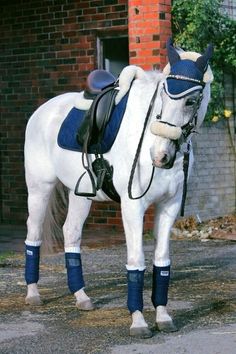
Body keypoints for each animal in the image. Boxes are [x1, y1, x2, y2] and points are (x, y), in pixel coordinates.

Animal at [24, 38, 214, 338]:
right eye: (162, 96)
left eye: (191, 100)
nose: (160, 156)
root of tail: (42, 111)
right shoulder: (133, 206)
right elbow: (136, 261)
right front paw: (138, 322)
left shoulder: (169, 206)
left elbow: (162, 261)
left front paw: (163, 317)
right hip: (39, 189)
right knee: (33, 234)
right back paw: (33, 294)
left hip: (80, 195)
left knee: (71, 233)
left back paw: (82, 298)